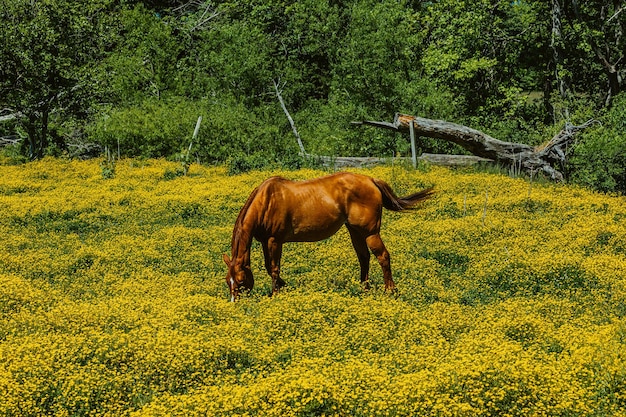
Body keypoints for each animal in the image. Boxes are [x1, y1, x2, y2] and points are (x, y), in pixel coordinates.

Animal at [222, 171, 432, 300]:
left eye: (240, 280)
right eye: (227, 281)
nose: (235, 302)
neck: (266, 201)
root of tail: (371, 180)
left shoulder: (275, 240)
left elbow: (274, 269)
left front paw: (276, 293)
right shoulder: (266, 241)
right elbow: (269, 268)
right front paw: (284, 286)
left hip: (370, 232)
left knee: (382, 256)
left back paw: (390, 290)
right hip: (355, 231)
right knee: (364, 258)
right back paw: (364, 288)